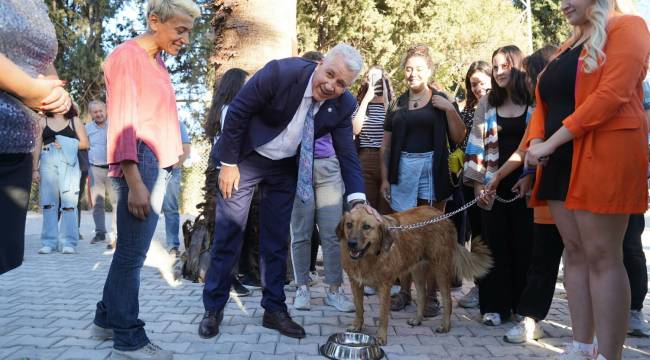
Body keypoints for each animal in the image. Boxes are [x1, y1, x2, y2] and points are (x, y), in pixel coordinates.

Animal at [336, 204, 488, 344]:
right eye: (349, 224)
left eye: (367, 227)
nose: (351, 243)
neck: (368, 258)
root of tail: (443, 216)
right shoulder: (355, 283)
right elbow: (359, 308)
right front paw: (357, 326)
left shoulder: (384, 287)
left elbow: (383, 316)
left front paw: (381, 337)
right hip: (417, 270)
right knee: (422, 295)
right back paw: (417, 320)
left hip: (440, 269)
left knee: (447, 300)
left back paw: (445, 325)